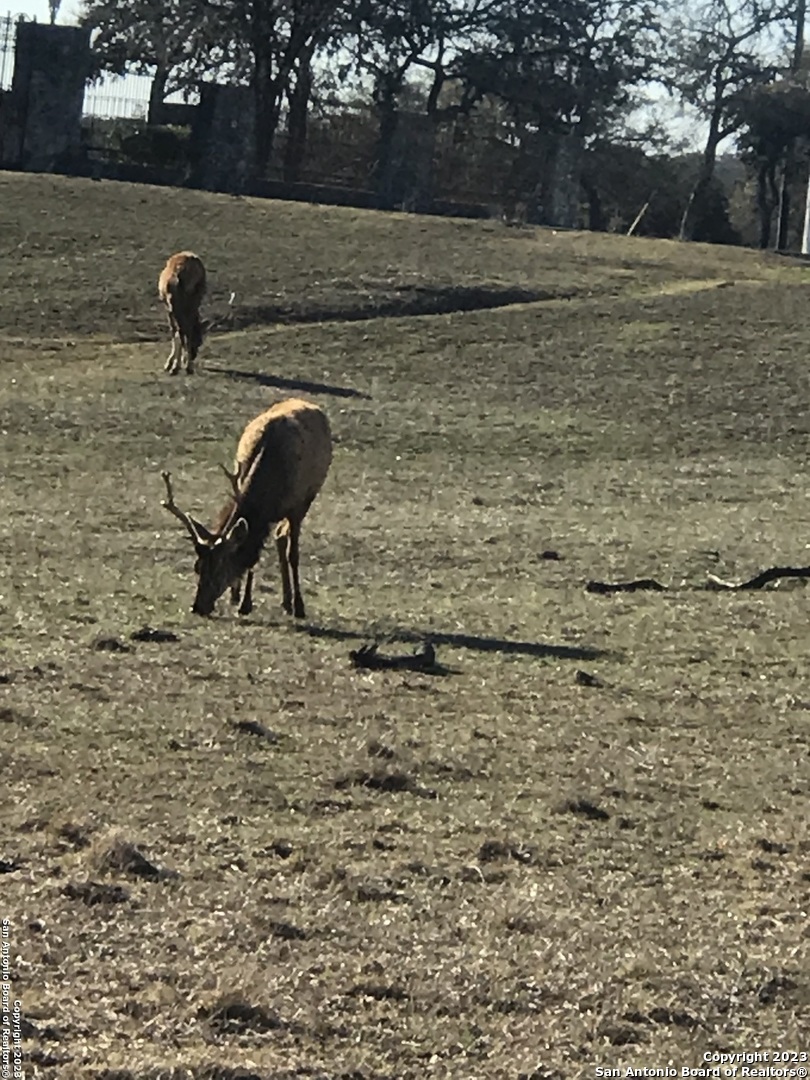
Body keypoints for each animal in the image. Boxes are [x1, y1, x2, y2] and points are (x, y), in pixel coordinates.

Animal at [161, 398, 332, 618]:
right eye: (197, 567)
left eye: (220, 569)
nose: (197, 607)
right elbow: (252, 555)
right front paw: (243, 602)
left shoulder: (297, 505)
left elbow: (292, 555)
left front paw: (299, 606)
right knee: (279, 535)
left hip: (309, 496)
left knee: (282, 537)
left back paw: (290, 603)